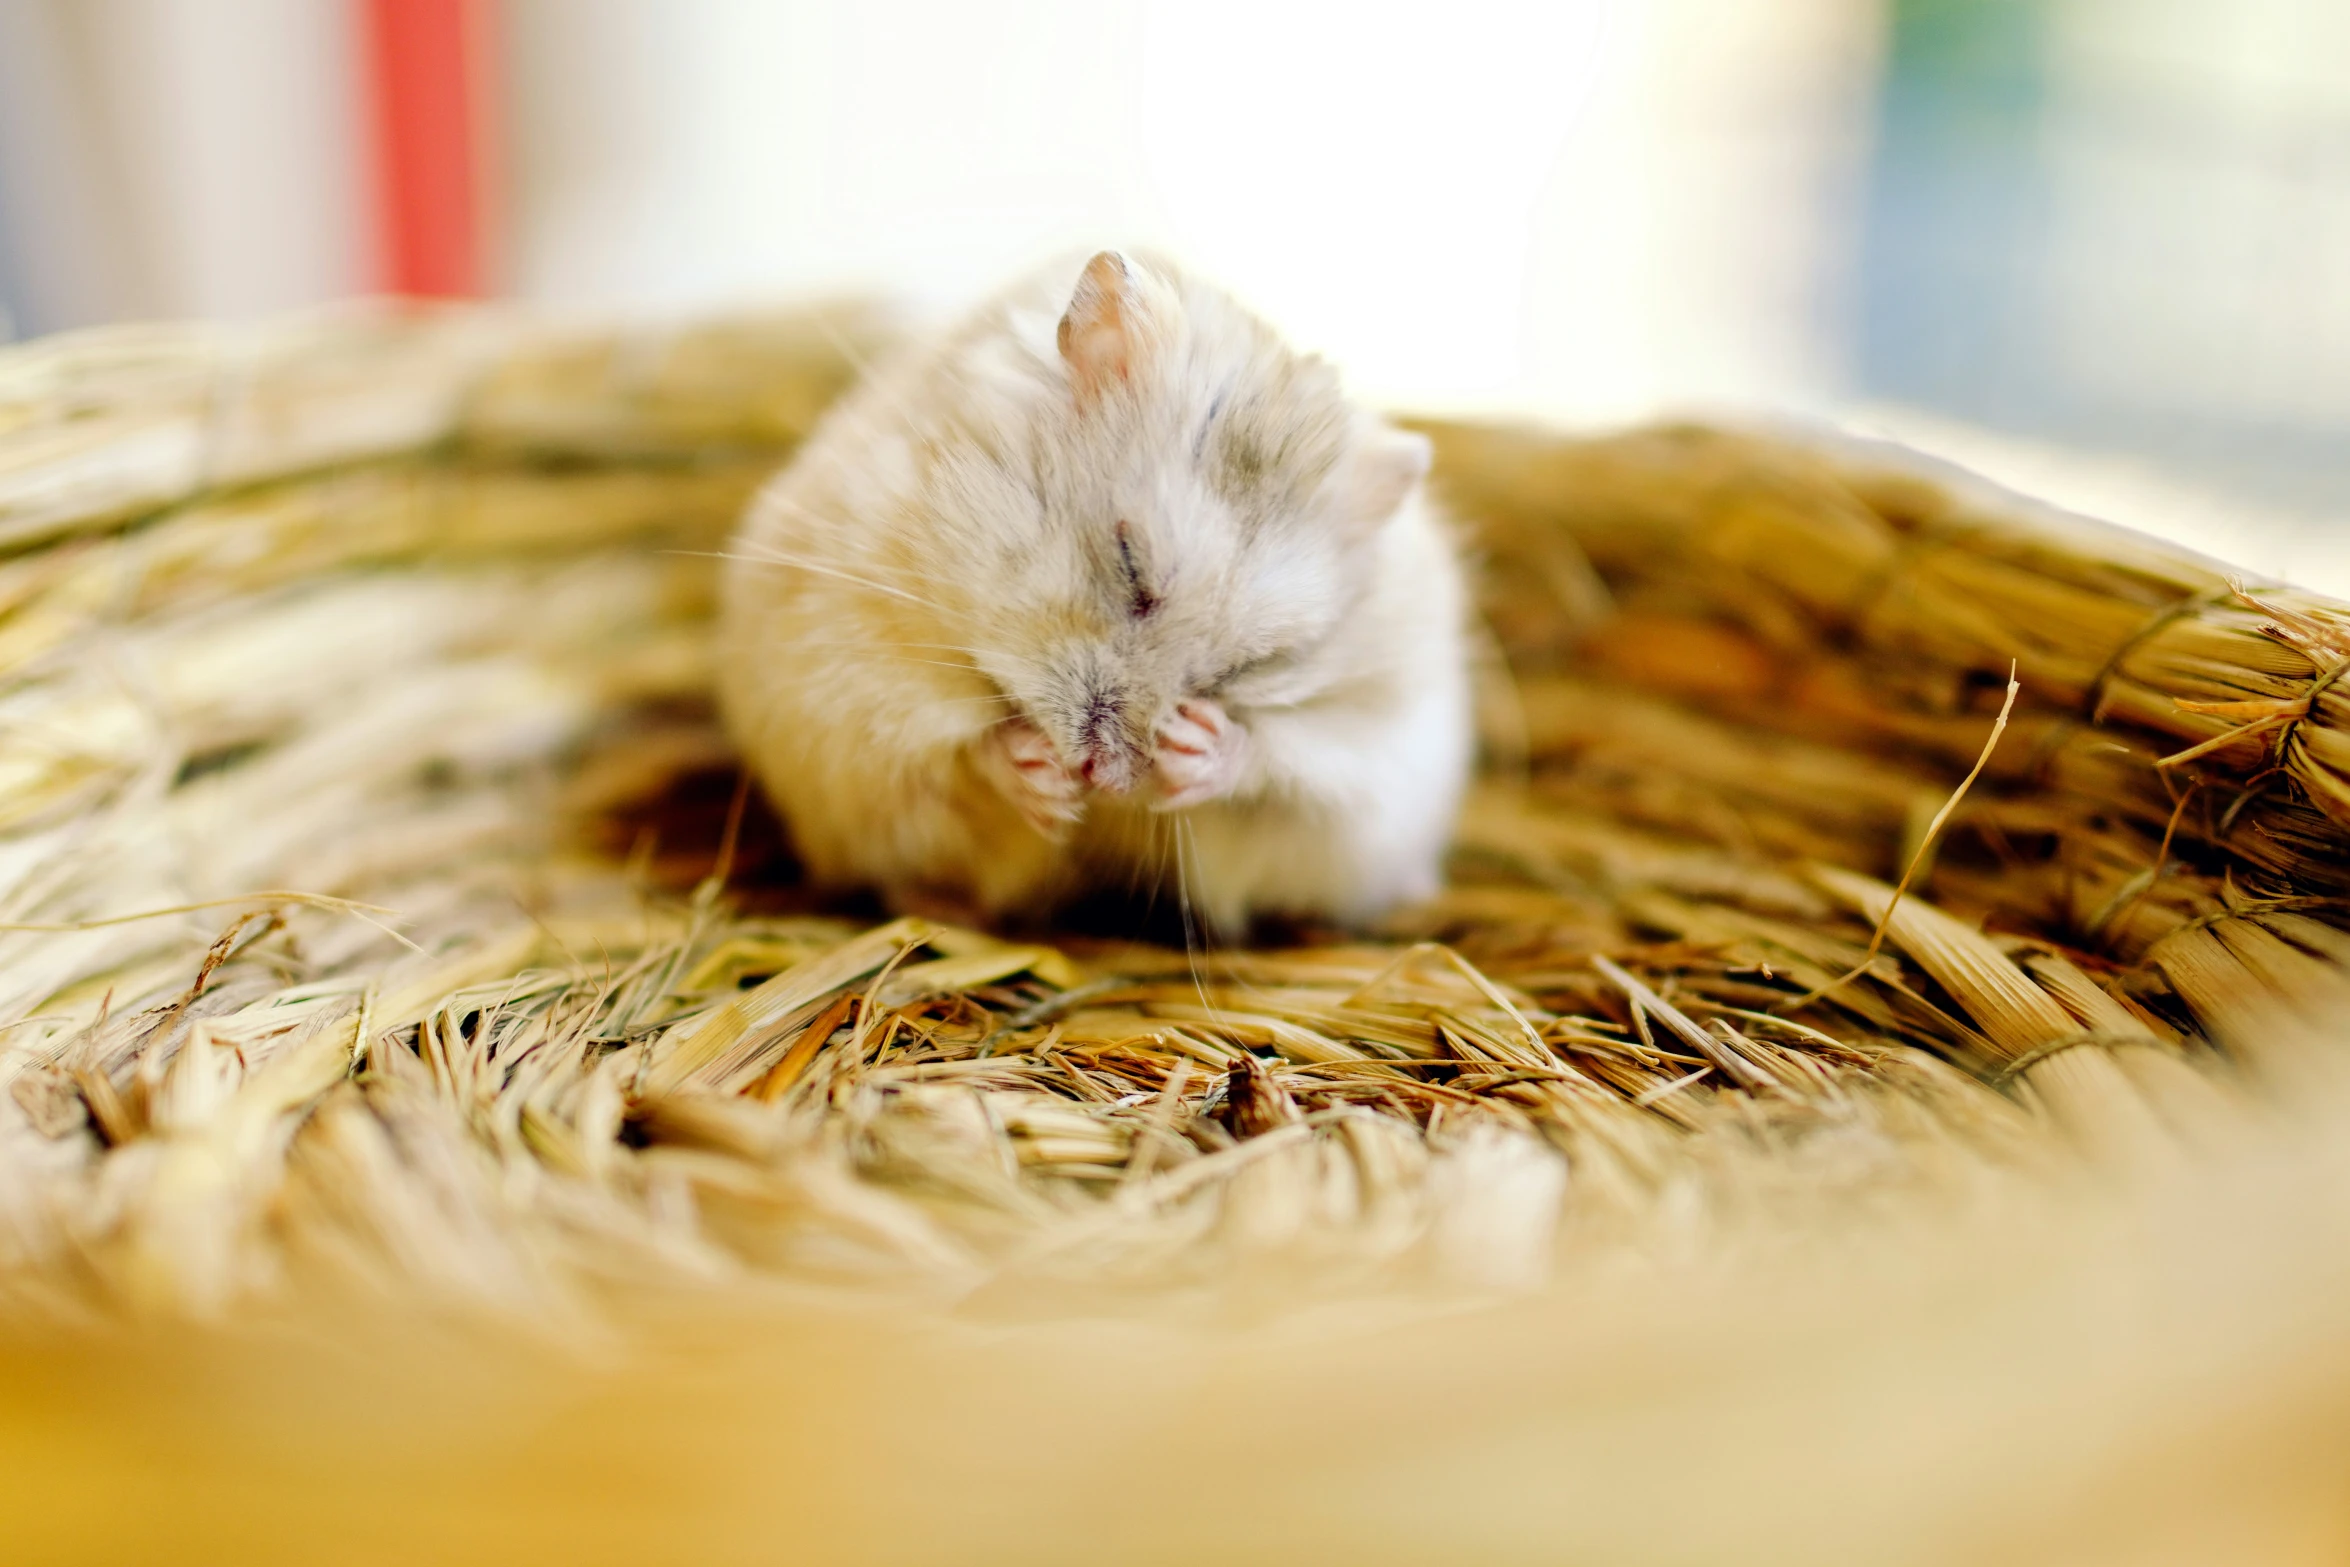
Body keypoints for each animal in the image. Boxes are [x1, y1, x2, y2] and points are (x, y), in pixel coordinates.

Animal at [709, 247, 1466, 930]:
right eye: (1130, 563)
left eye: (1255, 666)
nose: (1106, 779)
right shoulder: (855, 671)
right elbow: (958, 749)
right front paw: (1040, 772)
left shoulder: (1378, 749)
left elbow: (1289, 761)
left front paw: (1195, 746)